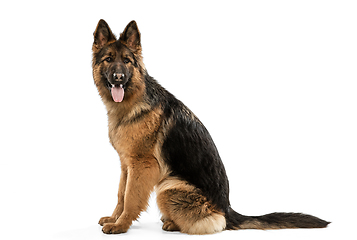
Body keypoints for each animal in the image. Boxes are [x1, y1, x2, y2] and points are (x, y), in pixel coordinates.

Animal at [91, 19, 328, 233]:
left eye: (127, 61)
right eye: (109, 59)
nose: (118, 78)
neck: (133, 102)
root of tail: (227, 209)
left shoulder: (142, 166)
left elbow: (131, 198)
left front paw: (121, 225)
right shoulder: (126, 165)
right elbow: (121, 194)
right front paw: (114, 218)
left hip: (168, 187)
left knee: (214, 223)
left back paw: (173, 223)